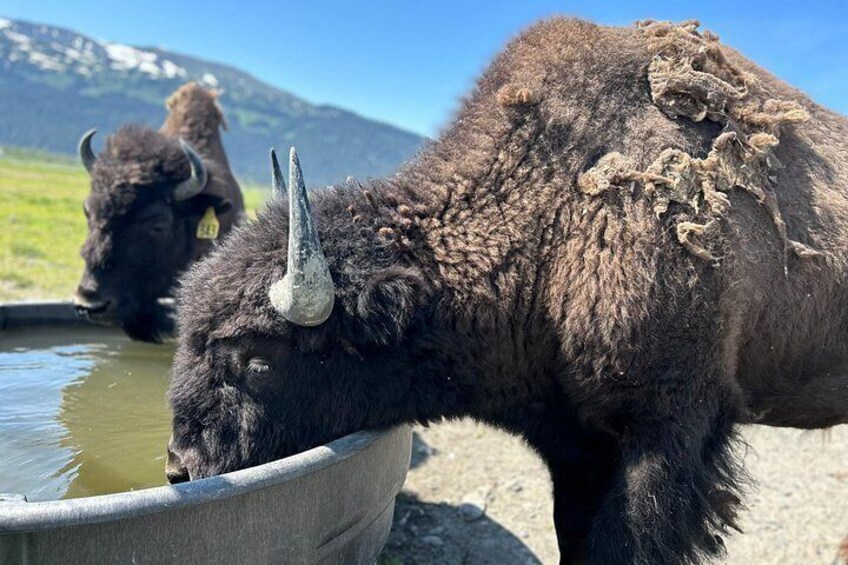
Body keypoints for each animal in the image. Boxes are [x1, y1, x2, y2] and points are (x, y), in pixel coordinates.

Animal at [167, 19, 848, 564]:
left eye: (256, 359)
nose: (179, 467)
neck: (552, 211)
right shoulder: (572, 443)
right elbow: (573, 535)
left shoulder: (669, 428)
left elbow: (624, 542)